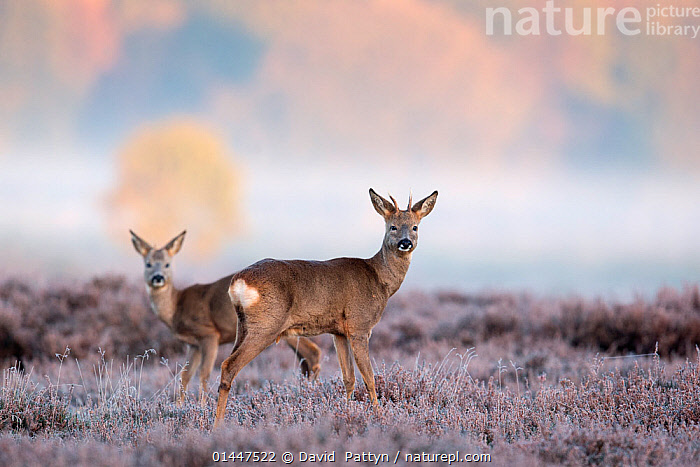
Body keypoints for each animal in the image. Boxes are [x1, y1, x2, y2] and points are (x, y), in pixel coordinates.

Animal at [129, 230, 323, 407]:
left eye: (167, 264)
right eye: (148, 264)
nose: (158, 278)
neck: (177, 306)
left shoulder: (209, 334)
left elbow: (204, 373)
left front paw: (201, 406)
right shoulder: (193, 344)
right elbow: (185, 375)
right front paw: (179, 407)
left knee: (313, 352)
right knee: (308, 355)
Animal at [213, 188, 437, 427]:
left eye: (415, 227)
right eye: (392, 226)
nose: (406, 242)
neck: (379, 279)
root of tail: (238, 281)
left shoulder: (338, 332)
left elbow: (349, 377)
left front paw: (347, 410)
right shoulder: (360, 326)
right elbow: (369, 377)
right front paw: (378, 414)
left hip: (243, 325)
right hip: (266, 324)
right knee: (228, 366)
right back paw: (218, 425)